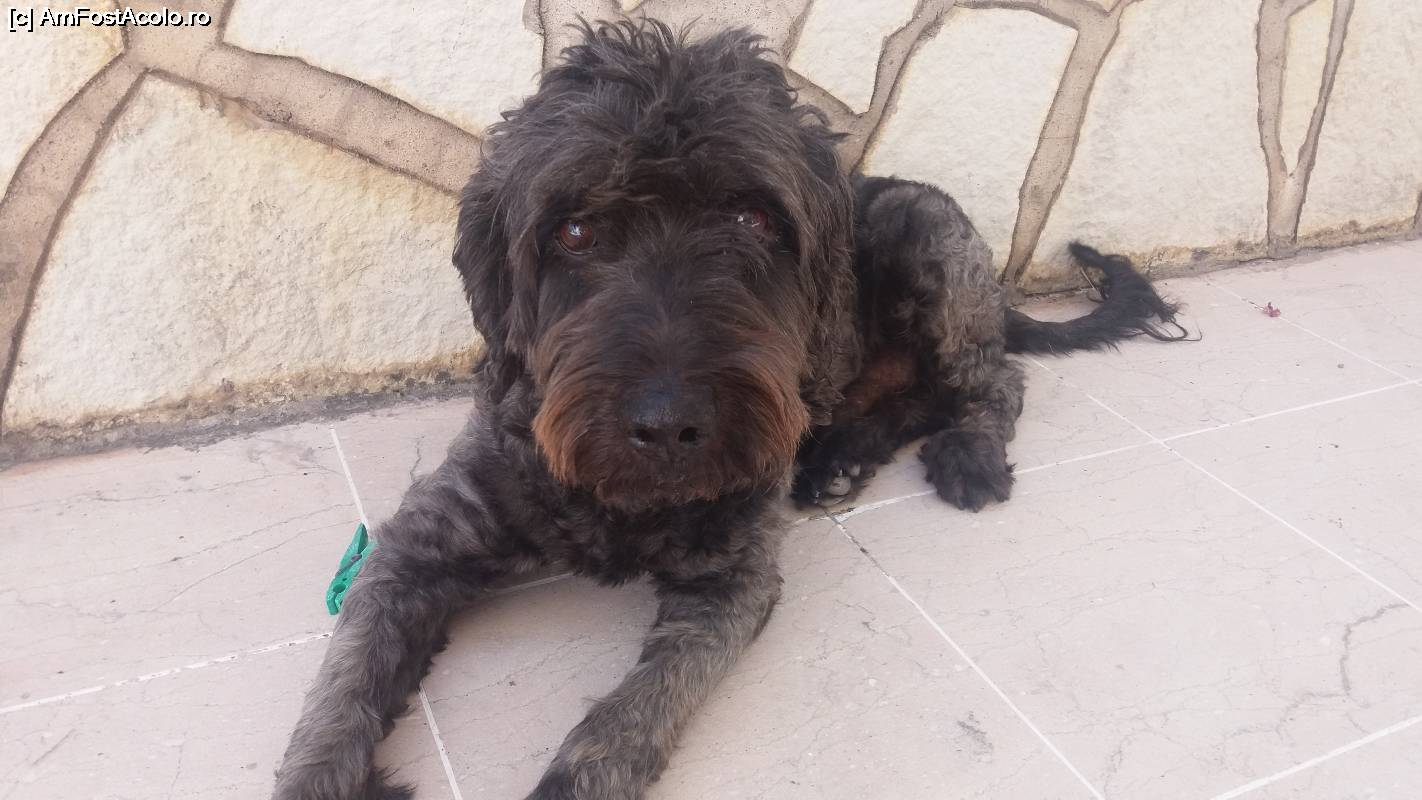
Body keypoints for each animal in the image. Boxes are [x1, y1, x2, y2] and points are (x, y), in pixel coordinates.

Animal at [273, 20, 1182, 800]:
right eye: (574, 230)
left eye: (753, 217)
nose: (670, 425)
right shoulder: (419, 544)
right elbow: (338, 692)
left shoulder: (731, 579)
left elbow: (631, 713)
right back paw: (841, 454)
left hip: (922, 231)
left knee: (996, 382)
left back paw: (968, 453)